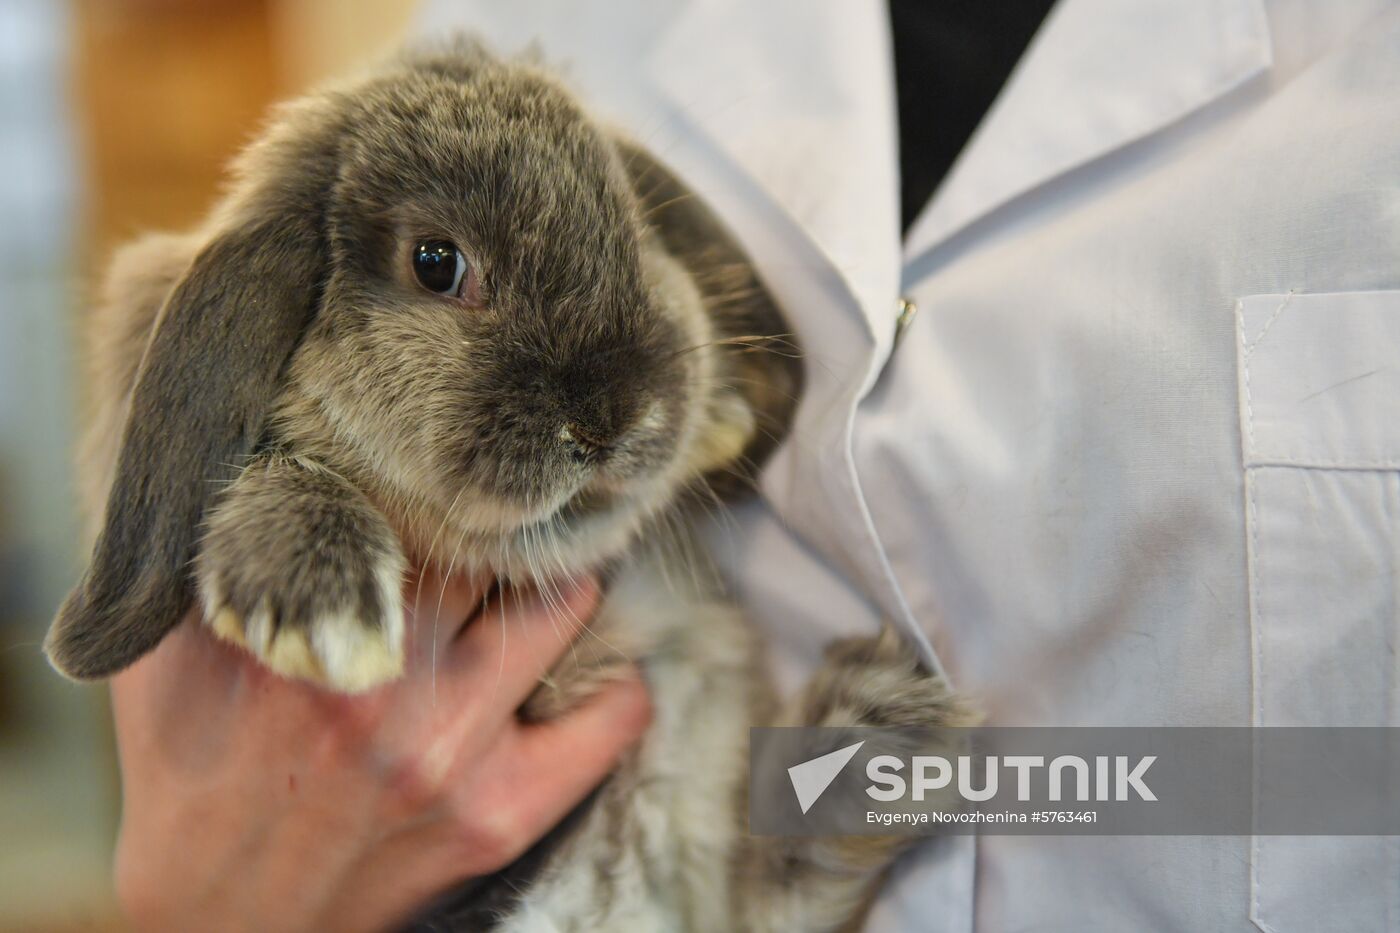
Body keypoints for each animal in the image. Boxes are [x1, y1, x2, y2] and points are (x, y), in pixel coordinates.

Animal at [46, 40, 967, 932]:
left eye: (637, 232)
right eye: (435, 262)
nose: (607, 418)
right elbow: (280, 472)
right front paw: (323, 609)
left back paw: (879, 734)